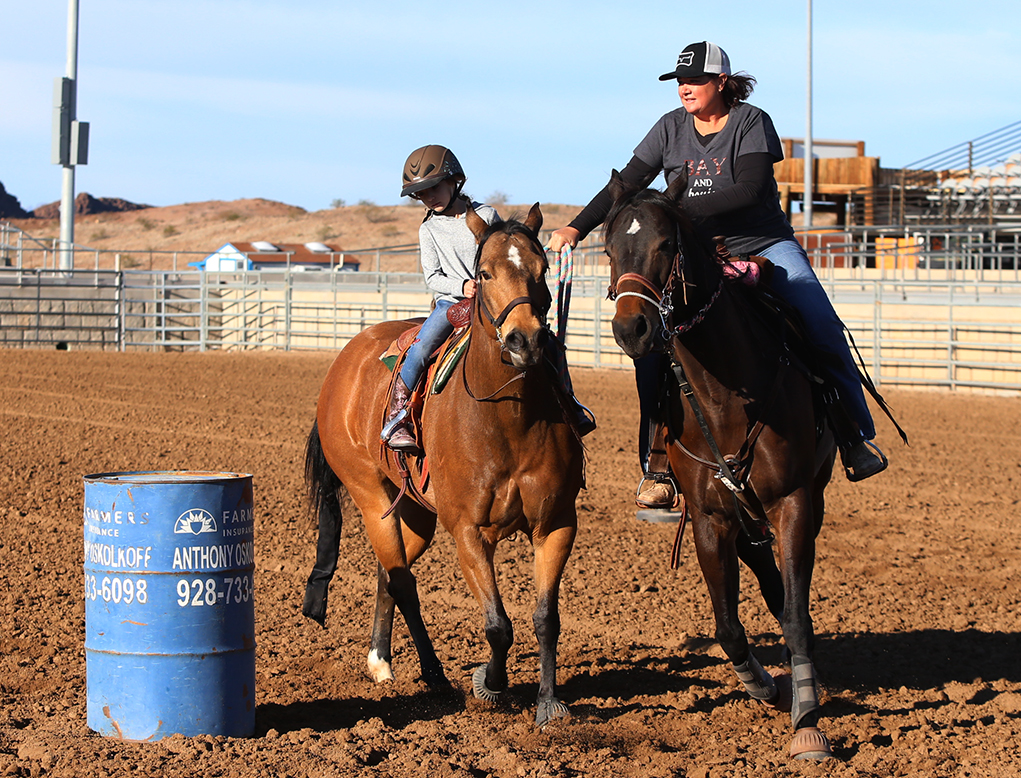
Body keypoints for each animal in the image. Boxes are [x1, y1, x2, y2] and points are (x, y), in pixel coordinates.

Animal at [298, 203, 584, 722]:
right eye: (484, 272)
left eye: (542, 268)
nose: (525, 341)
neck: (509, 417)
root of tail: (343, 364)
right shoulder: (468, 530)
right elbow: (498, 625)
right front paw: (490, 683)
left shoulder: (556, 523)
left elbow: (545, 618)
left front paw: (549, 705)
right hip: (372, 498)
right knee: (404, 584)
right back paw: (433, 675)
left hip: (415, 511)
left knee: (390, 573)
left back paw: (381, 660)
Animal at [604, 171, 837, 759]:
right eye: (610, 249)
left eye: (667, 245)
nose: (633, 330)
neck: (726, 395)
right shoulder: (710, 518)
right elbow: (728, 625)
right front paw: (762, 684)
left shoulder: (793, 502)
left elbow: (797, 618)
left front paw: (807, 719)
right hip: (742, 514)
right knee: (763, 572)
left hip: (805, 498)